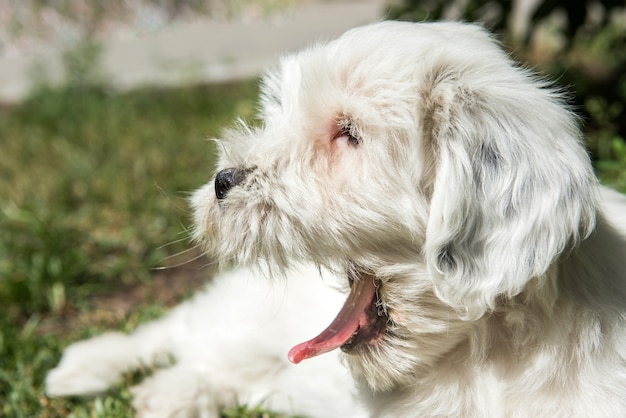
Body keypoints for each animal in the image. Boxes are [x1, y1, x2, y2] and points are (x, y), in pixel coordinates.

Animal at [47, 21, 624, 416]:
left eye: (349, 132)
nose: (222, 182)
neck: (484, 351)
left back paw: (168, 392)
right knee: (183, 328)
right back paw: (87, 368)